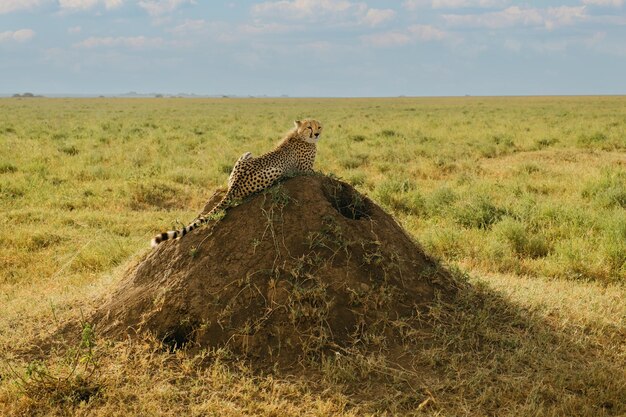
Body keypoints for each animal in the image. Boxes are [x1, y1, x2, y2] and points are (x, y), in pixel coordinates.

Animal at [149, 118, 320, 245]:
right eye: (309, 127)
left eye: (319, 126)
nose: (317, 134)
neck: (299, 135)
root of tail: (235, 184)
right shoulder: (306, 170)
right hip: (276, 170)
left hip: (246, 154)